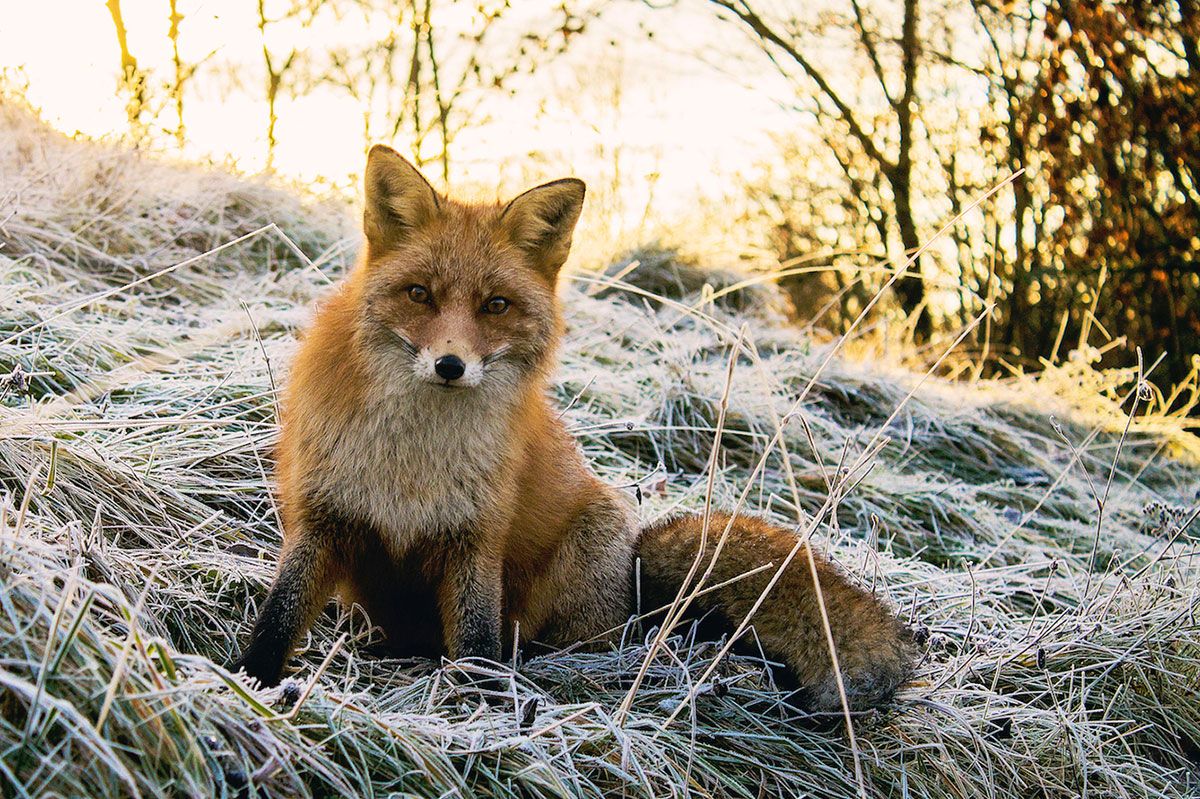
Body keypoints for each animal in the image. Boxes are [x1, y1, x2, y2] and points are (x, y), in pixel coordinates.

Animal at [229, 143, 912, 710]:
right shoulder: (323, 516)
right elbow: (279, 616)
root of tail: (634, 589)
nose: (451, 365)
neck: (414, 456)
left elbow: (476, 642)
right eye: (420, 294)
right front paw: (249, 683)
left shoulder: (476, 537)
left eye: (495, 305)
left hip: (590, 545)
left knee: (550, 642)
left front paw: (482, 706)